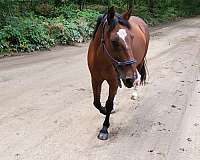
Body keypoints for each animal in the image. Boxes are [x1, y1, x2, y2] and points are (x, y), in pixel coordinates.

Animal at [86, 6, 149, 140]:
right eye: (114, 41)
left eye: (132, 37)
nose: (130, 78)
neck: (102, 59)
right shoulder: (95, 79)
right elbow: (97, 102)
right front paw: (105, 110)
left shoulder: (113, 81)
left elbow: (109, 103)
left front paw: (104, 128)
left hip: (139, 63)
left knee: (138, 76)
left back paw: (134, 94)